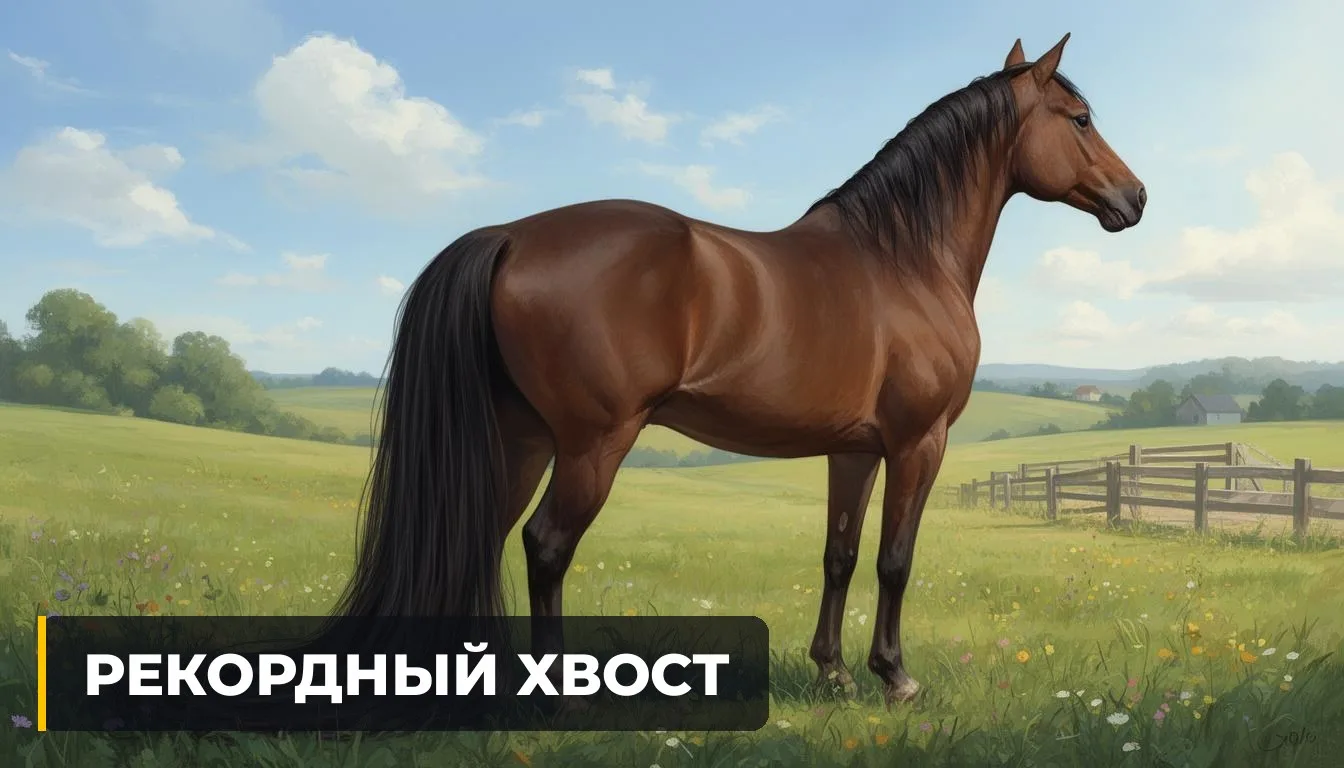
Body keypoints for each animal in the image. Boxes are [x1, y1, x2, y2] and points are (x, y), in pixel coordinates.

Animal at [334, 33, 1146, 707]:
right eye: (1079, 119)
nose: (1135, 197)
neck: (904, 259)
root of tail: (508, 235)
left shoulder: (854, 450)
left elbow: (840, 555)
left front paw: (834, 671)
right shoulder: (920, 442)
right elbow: (895, 560)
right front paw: (895, 677)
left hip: (521, 441)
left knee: (485, 536)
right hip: (592, 443)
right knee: (546, 545)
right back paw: (557, 696)